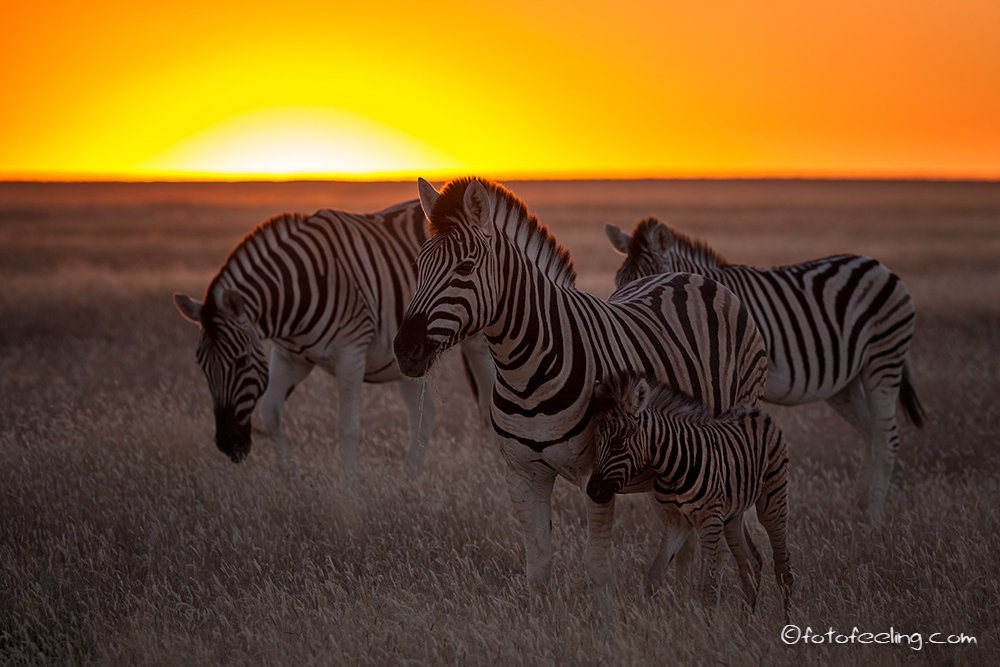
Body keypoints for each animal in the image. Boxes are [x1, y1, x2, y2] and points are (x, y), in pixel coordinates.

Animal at [178, 198, 498, 474]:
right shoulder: (289, 357)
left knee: (486, 404)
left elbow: (347, 427)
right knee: (426, 415)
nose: (228, 444)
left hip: (476, 341)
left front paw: (348, 489)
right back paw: (409, 477)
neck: (298, 292)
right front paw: (289, 475)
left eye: (241, 361)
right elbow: (270, 413)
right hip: (407, 357)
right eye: (201, 366)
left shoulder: (350, 353)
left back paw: (488, 474)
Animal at [390, 179, 764, 604]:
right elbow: (537, 567)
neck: (526, 370)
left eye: (465, 268)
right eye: (418, 267)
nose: (404, 349)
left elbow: (598, 569)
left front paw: (606, 621)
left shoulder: (597, 475)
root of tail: (691, 276)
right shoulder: (523, 473)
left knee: (738, 537)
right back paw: (682, 602)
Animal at [584, 374, 788, 624]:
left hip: (772, 499)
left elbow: (706, 587)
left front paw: (705, 628)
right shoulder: (677, 521)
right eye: (596, 440)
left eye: (618, 442)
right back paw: (745, 623)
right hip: (733, 515)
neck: (672, 467)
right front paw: (650, 623)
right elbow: (655, 576)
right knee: (750, 562)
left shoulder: (710, 520)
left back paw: (787, 623)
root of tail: (754, 411)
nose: (592, 491)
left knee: (782, 566)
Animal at [604, 219, 924, 520]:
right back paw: (859, 504)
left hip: (884, 357)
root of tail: (876, 264)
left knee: (887, 437)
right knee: (870, 431)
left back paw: (874, 517)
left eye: (650, 280)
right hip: (845, 382)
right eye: (619, 280)